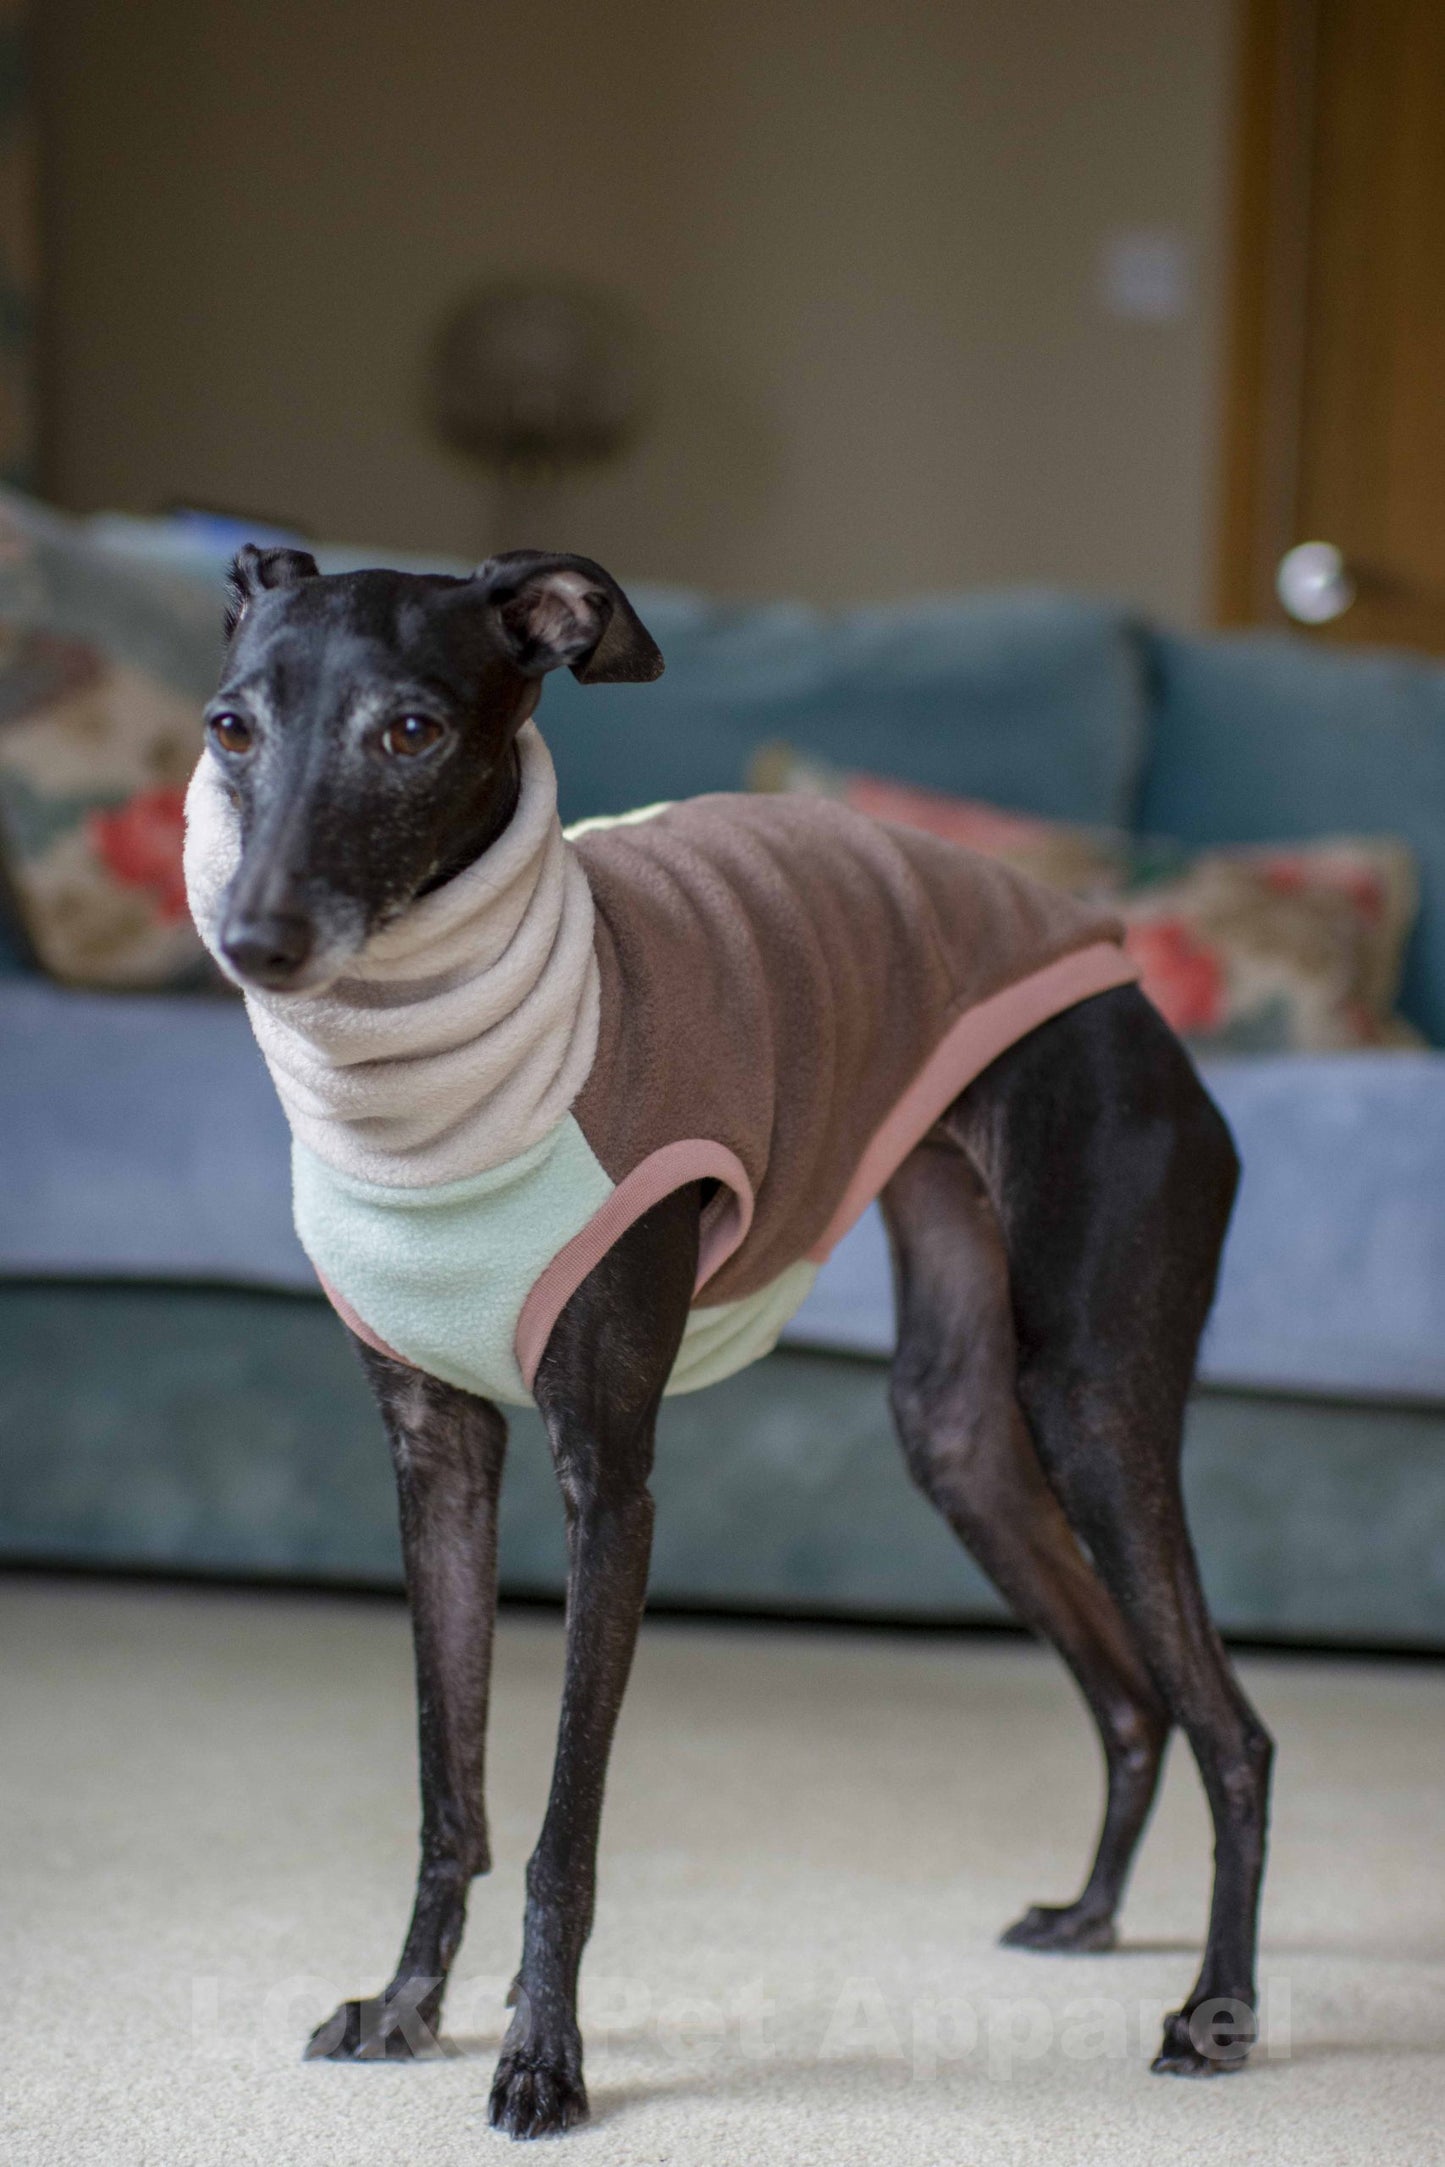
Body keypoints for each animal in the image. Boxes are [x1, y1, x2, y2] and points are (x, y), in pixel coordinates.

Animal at [198, 541, 1273, 2132]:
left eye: (410, 731)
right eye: (230, 727)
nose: (255, 942)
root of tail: (1122, 978)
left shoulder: (611, 1480)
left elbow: (562, 1828)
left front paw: (541, 2058)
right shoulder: (434, 1454)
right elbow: (451, 1791)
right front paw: (406, 2006)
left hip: (1088, 1395)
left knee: (1230, 1726)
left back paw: (1215, 2007)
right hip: (958, 1425)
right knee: (1134, 1697)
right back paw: (1088, 1914)